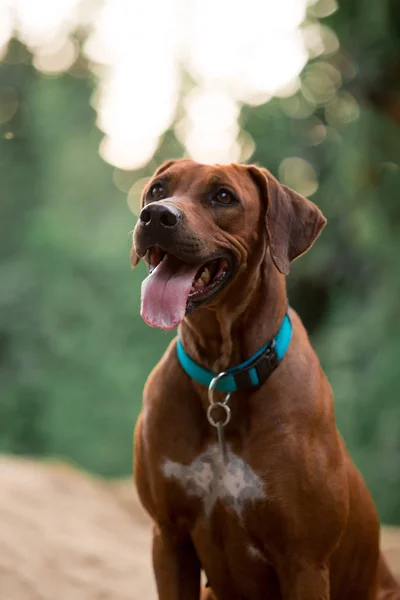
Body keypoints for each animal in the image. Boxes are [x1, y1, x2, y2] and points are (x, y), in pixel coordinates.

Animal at [131, 159, 400, 600]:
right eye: (157, 189)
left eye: (223, 196)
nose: (156, 216)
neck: (222, 379)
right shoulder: (168, 540)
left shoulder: (305, 562)